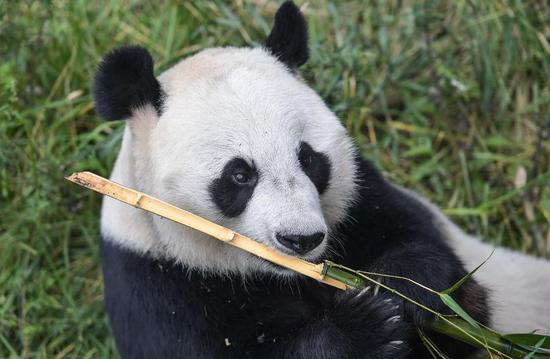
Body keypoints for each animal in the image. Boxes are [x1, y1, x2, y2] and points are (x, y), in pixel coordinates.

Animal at [94, 1, 550, 358]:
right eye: (239, 175)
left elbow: (455, 297)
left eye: (309, 159)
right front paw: (365, 328)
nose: (301, 239)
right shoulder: (159, 283)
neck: (284, 275)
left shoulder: (366, 203)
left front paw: (403, 288)